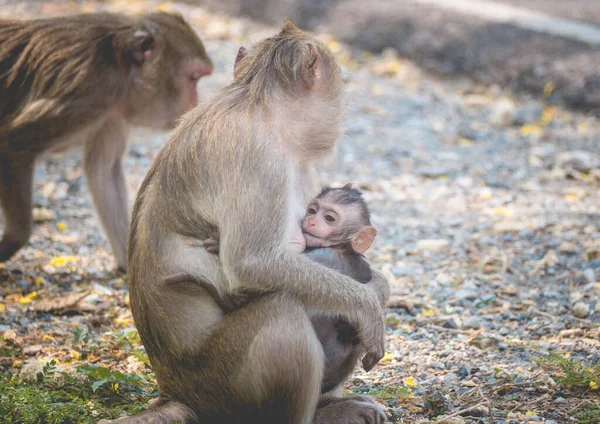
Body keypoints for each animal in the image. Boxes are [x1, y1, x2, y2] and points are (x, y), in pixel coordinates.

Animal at [0, 12, 213, 272]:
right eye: (193, 78)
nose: (195, 103)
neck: (119, 67)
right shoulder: (88, 93)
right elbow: (14, 143)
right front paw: (12, 241)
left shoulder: (113, 111)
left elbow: (103, 171)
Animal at [123, 20, 390, 424]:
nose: (340, 116)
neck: (256, 105)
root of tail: (174, 392)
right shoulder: (259, 158)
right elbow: (252, 264)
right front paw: (370, 304)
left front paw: (381, 287)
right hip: (220, 385)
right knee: (283, 315)